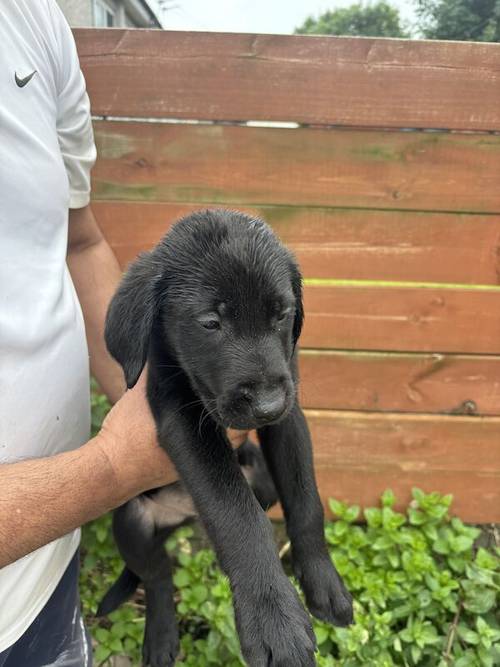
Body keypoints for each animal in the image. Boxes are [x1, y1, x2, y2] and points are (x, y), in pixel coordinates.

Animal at [99, 210, 354, 667]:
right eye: (210, 323)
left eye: (282, 314)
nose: (267, 404)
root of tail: (181, 517)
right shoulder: (184, 423)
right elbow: (237, 514)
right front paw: (273, 617)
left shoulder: (289, 416)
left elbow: (306, 500)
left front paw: (323, 581)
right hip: (131, 521)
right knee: (158, 575)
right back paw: (161, 636)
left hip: (262, 480)